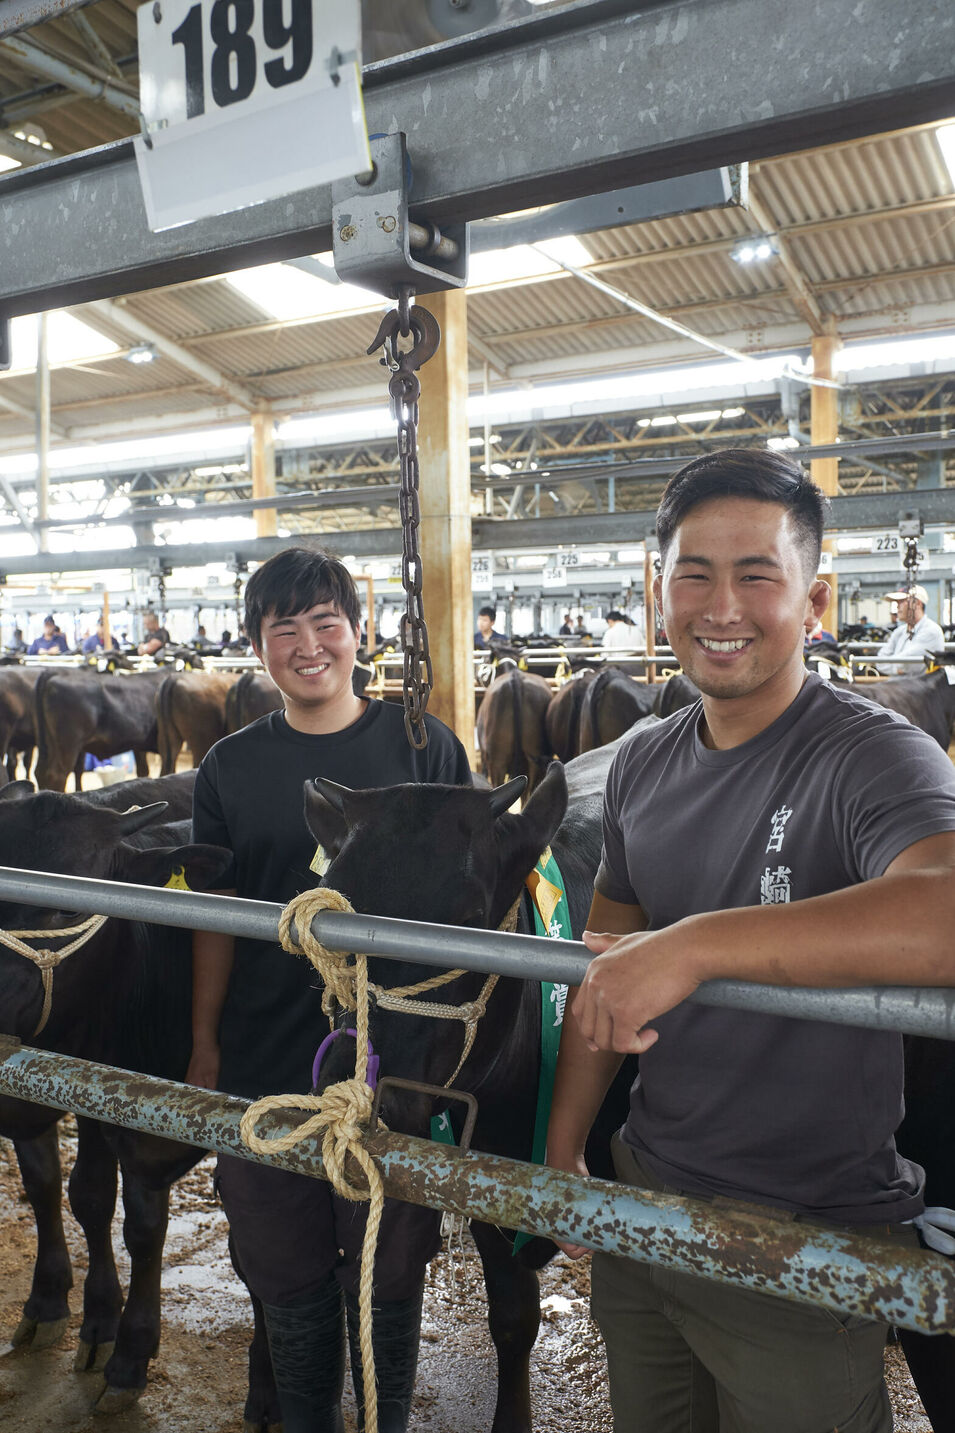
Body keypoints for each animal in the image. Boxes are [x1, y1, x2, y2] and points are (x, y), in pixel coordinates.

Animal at [0, 779, 276, 1427]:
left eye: (68, 908)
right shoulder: (50, 1099)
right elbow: (63, 1190)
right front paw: (61, 1307)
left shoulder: (153, 1128)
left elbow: (144, 1226)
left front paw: (128, 1351)